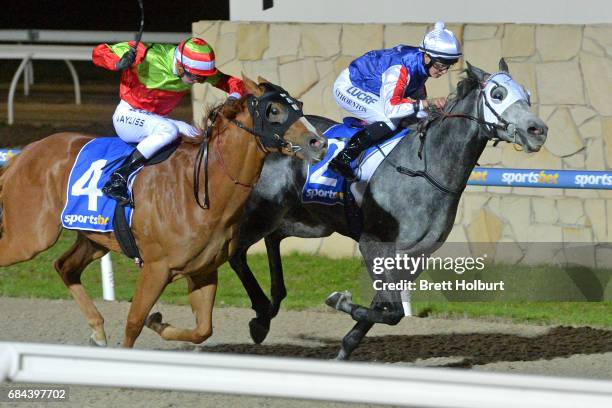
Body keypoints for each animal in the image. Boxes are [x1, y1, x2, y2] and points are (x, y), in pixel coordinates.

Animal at [0, 75, 326, 348]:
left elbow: (202, 329)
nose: (318, 142)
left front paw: (158, 322)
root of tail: (21, 155)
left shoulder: (204, 271)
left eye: (298, 105)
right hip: (30, 237)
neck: (202, 191)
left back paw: (97, 330)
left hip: (93, 238)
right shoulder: (156, 268)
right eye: (274, 110)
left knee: (65, 267)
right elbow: (133, 323)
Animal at [230, 60, 548, 360]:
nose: (538, 131)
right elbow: (391, 311)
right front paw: (339, 300)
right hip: (262, 212)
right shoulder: (374, 243)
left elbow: (386, 307)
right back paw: (261, 315)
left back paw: (267, 313)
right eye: (497, 94)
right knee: (237, 252)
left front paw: (345, 348)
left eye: (528, 95)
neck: (424, 169)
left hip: (309, 222)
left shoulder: (415, 255)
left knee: (273, 238)